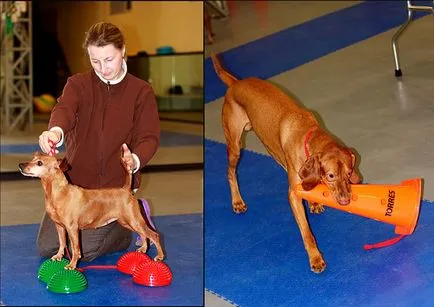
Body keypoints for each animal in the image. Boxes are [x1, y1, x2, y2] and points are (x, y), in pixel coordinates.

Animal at [18, 151, 164, 270]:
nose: (20, 165)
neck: (58, 192)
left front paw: (72, 265)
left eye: (39, 163)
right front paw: (59, 256)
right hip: (127, 222)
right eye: (33, 158)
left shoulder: (72, 228)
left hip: (134, 220)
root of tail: (126, 189)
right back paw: (143, 248)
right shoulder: (59, 226)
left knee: (154, 235)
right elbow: (62, 242)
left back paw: (159, 256)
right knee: (144, 234)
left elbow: (75, 248)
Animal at [209, 53, 360, 274]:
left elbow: (309, 187)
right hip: (235, 146)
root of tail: (235, 83)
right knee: (230, 172)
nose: (345, 201)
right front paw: (315, 258)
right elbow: (306, 231)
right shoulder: (293, 195)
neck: (308, 134)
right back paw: (237, 201)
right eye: (331, 176)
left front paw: (314, 202)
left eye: (349, 174)